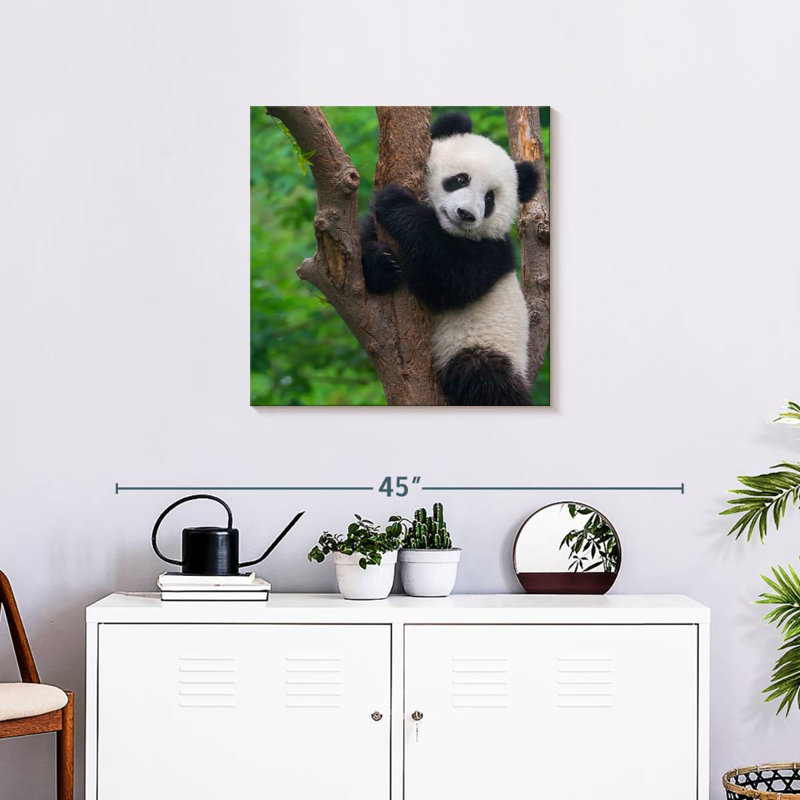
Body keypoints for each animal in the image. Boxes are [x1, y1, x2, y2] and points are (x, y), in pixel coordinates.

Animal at [360, 111, 539, 406]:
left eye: (489, 199)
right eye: (460, 179)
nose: (466, 214)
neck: (449, 231)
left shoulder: (492, 252)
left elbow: (448, 281)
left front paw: (396, 203)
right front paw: (381, 264)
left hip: (486, 345)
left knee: (483, 379)